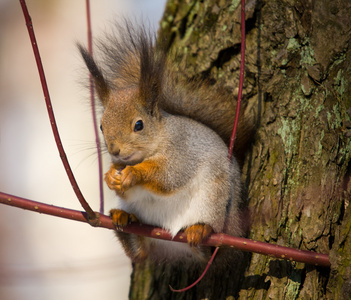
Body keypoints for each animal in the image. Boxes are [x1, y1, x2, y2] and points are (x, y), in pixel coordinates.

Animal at [79, 21, 250, 264]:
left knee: (206, 251)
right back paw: (124, 219)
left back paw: (199, 230)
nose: (115, 150)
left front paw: (135, 173)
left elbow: (168, 175)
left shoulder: (182, 151)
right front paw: (111, 176)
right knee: (140, 252)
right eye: (101, 126)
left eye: (139, 125)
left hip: (213, 201)